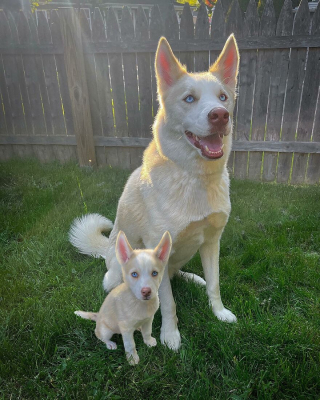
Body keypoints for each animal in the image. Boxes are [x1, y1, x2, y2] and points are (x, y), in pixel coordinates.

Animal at [70, 36, 240, 352]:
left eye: (223, 97)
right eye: (189, 99)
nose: (220, 115)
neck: (194, 178)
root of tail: (106, 250)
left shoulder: (212, 241)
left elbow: (215, 284)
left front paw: (219, 313)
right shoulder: (156, 251)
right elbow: (169, 303)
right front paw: (170, 336)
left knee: (176, 273)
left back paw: (192, 277)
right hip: (116, 275)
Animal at [74, 231, 171, 366]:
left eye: (155, 273)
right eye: (134, 274)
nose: (146, 291)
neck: (140, 304)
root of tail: (98, 316)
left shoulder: (148, 319)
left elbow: (147, 331)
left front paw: (148, 341)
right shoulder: (126, 329)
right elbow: (130, 345)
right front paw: (132, 359)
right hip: (106, 330)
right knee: (100, 335)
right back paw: (110, 344)